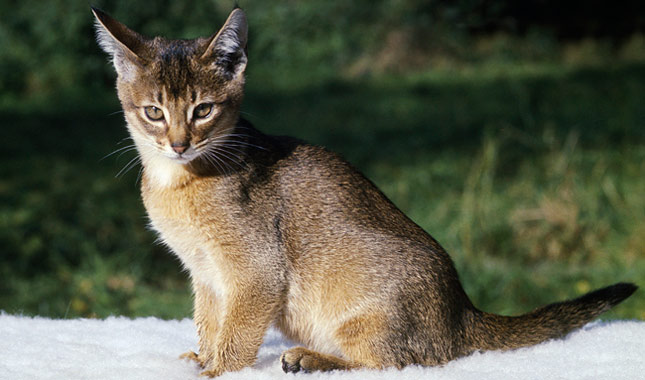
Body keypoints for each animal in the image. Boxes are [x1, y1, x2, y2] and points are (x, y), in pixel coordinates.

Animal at [90, 5, 632, 378]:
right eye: (154, 112)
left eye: (203, 110)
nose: (179, 143)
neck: (176, 181)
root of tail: (463, 311)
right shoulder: (204, 274)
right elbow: (208, 321)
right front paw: (199, 356)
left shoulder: (255, 271)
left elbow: (238, 334)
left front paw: (215, 370)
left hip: (365, 316)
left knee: (399, 363)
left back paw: (309, 359)